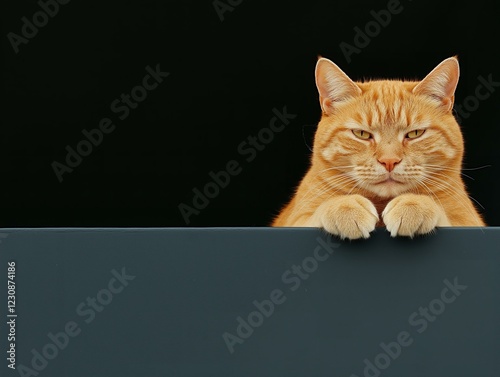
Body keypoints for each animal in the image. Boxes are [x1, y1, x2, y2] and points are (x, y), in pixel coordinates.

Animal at [272, 55, 486, 238]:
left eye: (414, 134)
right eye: (362, 134)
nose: (389, 161)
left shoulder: (469, 221)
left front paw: (414, 204)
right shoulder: (293, 220)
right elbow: (317, 212)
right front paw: (345, 207)